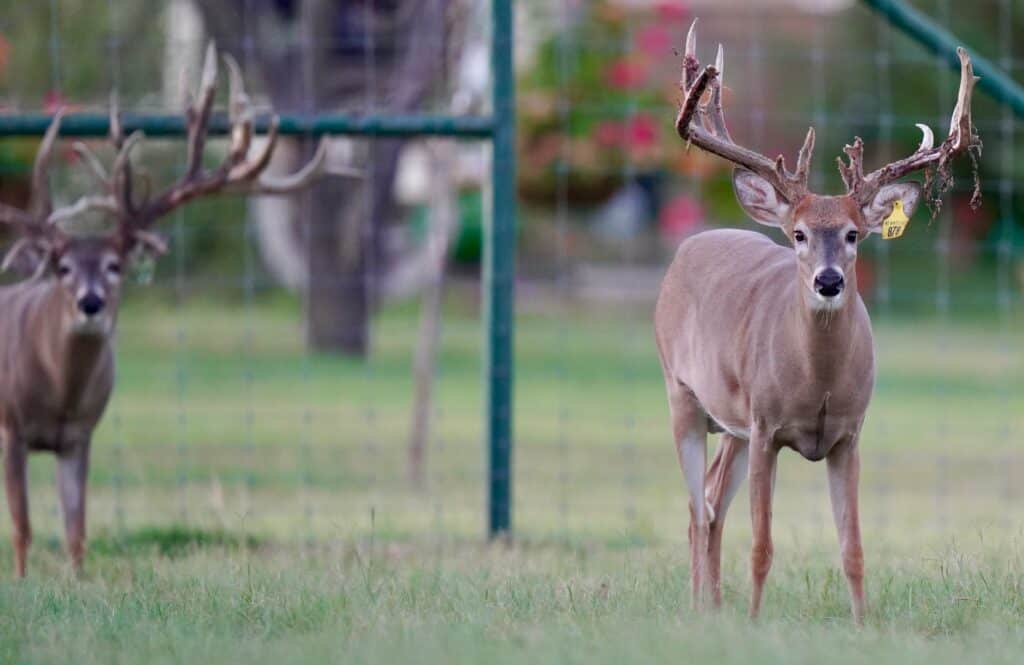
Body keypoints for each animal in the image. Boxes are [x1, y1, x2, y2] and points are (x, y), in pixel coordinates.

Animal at [0, 44, 352, 577]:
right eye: (61, 267)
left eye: (116, 265)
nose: (90, 302)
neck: (58, 393)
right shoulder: (11, 426)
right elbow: (22, 528)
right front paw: (21, 581)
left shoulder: (79, 435)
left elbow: (76, 531)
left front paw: (77, 581)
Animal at [655, 21, 980, 623]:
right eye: (799, 234)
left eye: (854, 234)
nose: (828, 282)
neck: (817, 386)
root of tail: (690, 245)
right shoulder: (765, 426)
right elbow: (762, 545)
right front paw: (755, 622)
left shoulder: (849, 434)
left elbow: (853, 547)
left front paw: (862, 624)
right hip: (681, 394)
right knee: (695, 509)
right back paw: (698, 609)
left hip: (730, 424)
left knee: (710, 501)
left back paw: (713, 607)